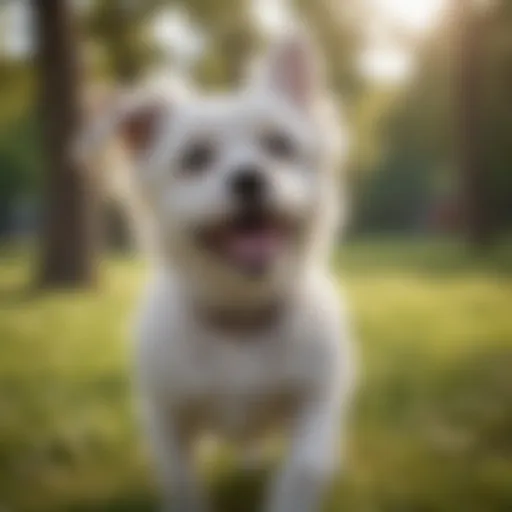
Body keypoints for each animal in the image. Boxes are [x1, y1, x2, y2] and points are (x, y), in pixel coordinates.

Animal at [84, 32, 356, 512]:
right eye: (195, 158)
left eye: (280, 145)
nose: (249, 178)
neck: (240, 322)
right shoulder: (166, 415)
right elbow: (180, 481)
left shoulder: (318, 396)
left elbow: (305, 466)